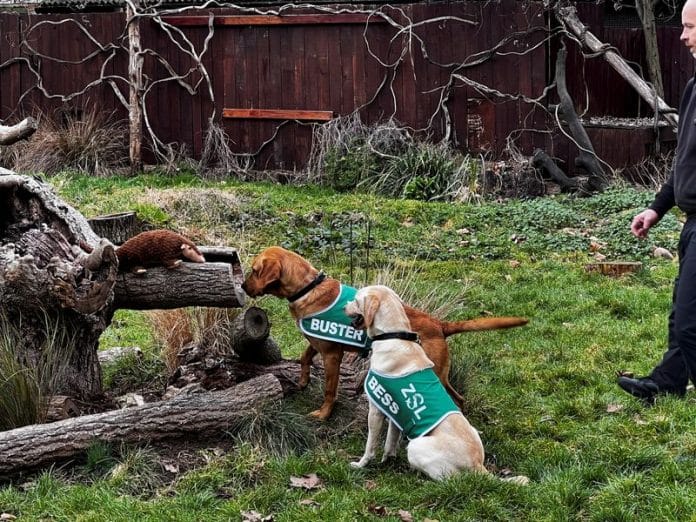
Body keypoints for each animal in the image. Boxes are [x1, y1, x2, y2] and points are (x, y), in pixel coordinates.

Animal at [241, 246, 528, 420]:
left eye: (254, 271)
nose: (243, 287)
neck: (307, 288)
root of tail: (439, 324)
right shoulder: (318, 343)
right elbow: (303, 358)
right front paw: (301, 381)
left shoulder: (332, 354)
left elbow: (330, 389)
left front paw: (323, 414)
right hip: (442, 375)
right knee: (459, 399)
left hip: (433, 374)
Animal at [345, 285, 528, 483]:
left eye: (356, 299)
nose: (344, 306)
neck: (394, 336)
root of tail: (478, 466)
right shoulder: (395, 411)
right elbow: (390, 443)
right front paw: (387, 460)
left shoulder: (376, 410)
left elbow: (370, 446)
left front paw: (361, 464)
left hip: (416, 446)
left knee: (447, 480)